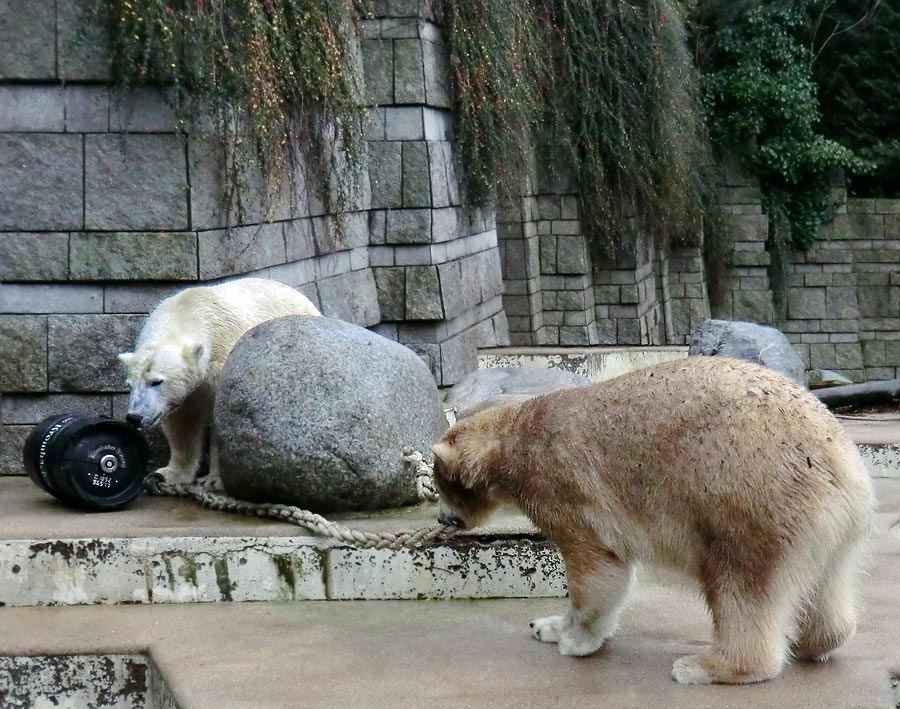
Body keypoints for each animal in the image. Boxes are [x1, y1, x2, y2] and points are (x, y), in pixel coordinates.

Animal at [116, 276, 320, 486]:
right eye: (129, 385)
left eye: (156, 381)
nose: (134, 417)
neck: (190, 311)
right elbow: (182, 423)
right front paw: (167, 473)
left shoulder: (222, 363)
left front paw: (214, 480)